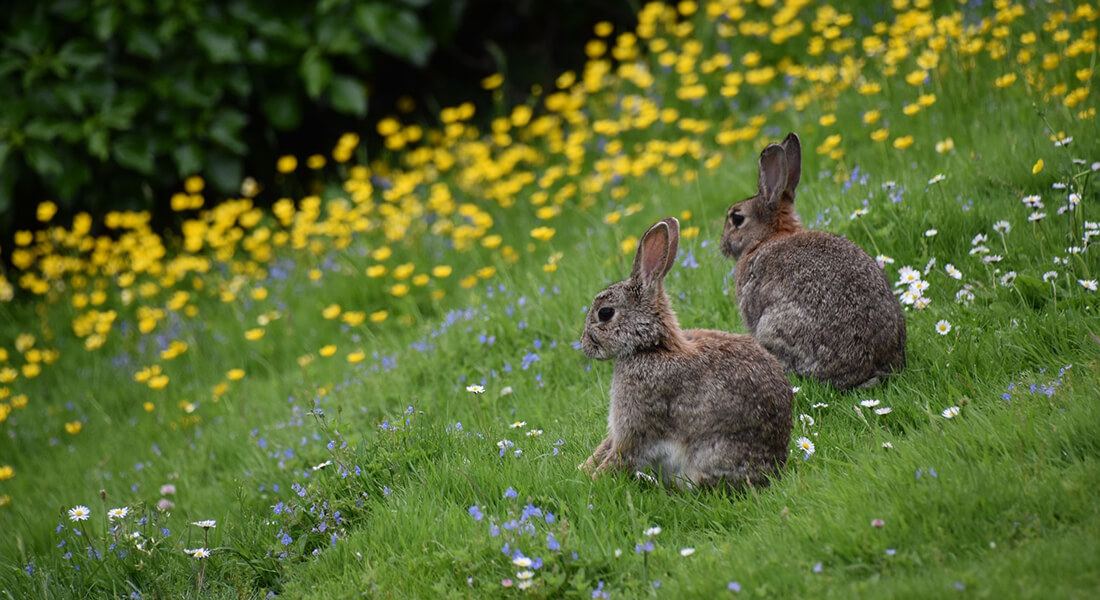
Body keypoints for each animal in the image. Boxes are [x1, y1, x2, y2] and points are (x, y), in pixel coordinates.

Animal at [578, 217, 793, 491]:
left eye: (605, 313)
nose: (584, 345)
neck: (653, 346)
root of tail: (776, 465)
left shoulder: (637, 424)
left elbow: (621, 456)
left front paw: (593, 481)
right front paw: (582, 470)